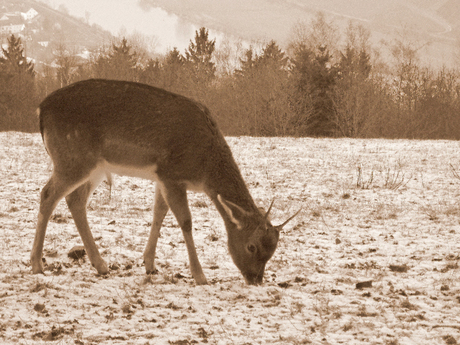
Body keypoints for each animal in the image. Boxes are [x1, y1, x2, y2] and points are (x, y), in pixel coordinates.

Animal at [30, 78, 300, 284]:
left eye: (273, 249)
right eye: (251, 246)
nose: (255, 279)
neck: (204, 171)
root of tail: (41, 109)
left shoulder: (161, 177)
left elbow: (159, 212)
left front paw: (149, 264)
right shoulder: (173, 174)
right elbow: (186, 221)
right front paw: (200, 276)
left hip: (93, 167)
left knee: (75, 200)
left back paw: (101, 265)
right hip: (72, 158)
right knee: (47, 194)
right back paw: (36, 264)